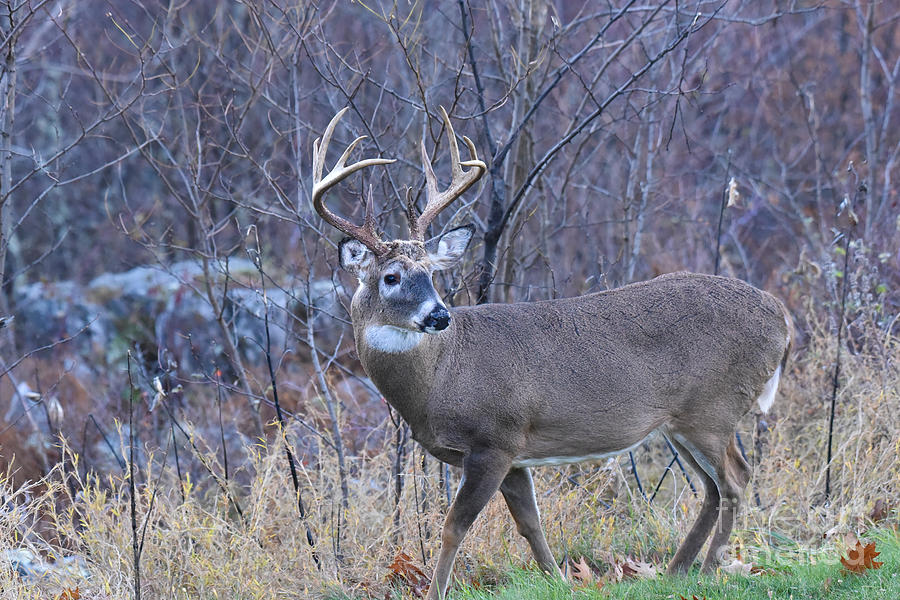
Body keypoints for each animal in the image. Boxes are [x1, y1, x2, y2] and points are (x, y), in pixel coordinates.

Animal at [312, 109, 792, 600]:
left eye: (430, 273)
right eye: (391, 277)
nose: (439, 315)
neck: (439, 378)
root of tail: (780, 315)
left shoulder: (494, 438)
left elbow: (453, 528)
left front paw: (436, 592)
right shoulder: (514, 453)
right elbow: (530, 525)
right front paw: (559, 580)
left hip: (714, 408)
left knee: (736, 480)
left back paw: (711, 568)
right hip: (680, 421)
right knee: (714, 487)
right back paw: (678, 570)